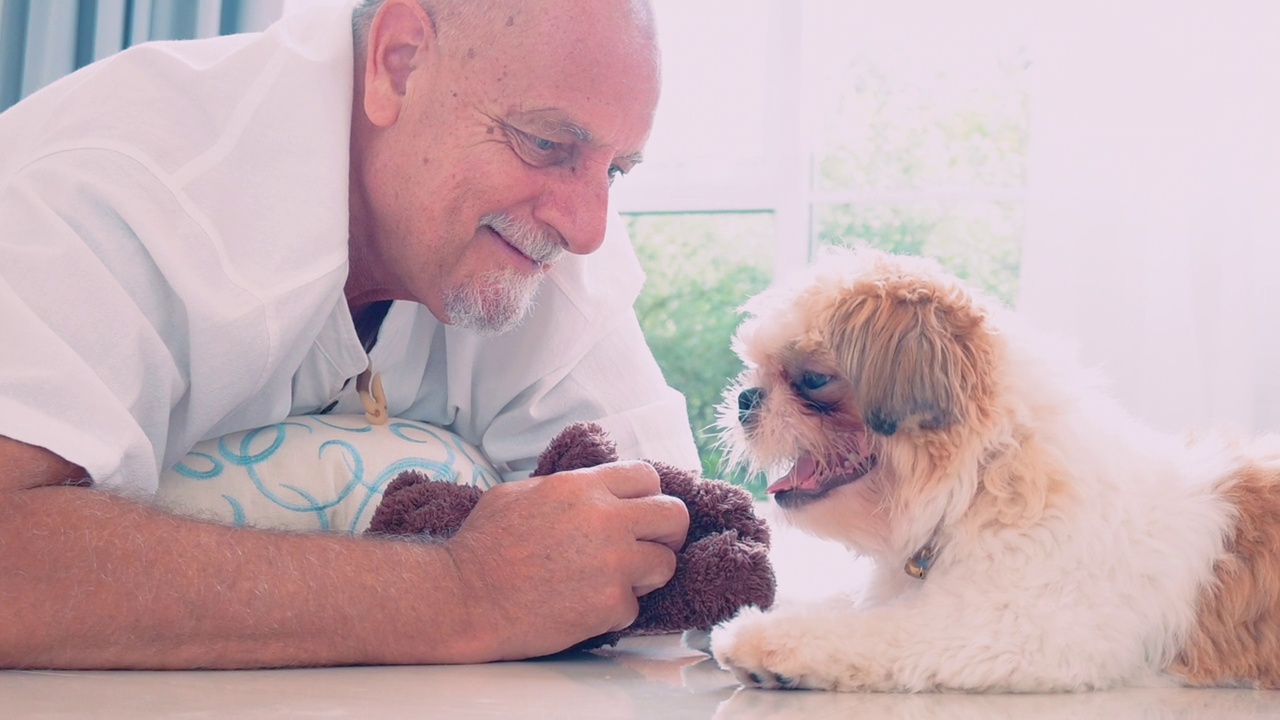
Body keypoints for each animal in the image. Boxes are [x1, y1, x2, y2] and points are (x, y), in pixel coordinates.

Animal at [711, 244, 1280, 691]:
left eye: (811, 380)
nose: (745, 398)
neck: (983, 477)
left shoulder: (1007, 628)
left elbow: (874, 632)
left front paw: (764, 641)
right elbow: (845, 602)